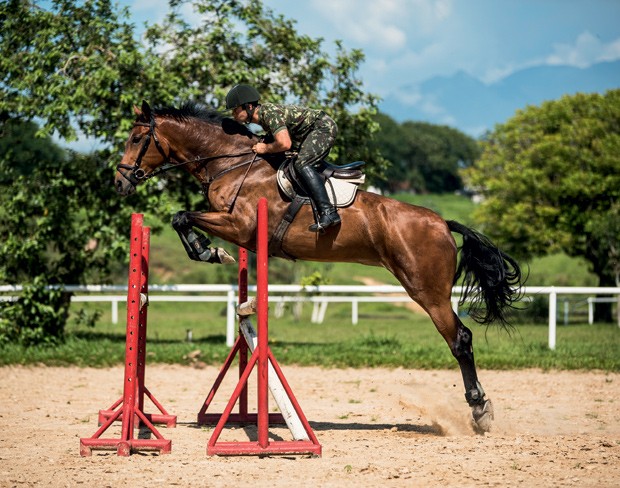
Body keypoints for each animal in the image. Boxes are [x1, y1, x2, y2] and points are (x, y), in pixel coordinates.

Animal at [115, 101, 524, 432]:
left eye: (136, 139)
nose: (120, 182)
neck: (232, 165)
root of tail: (442, 223)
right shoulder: (240, 230)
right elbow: (182, 217)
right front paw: (212, 253)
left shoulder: (239, 226)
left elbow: (182, 216)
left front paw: (210, 252)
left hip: (427, 290)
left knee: (460, 339)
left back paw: (480, 411)